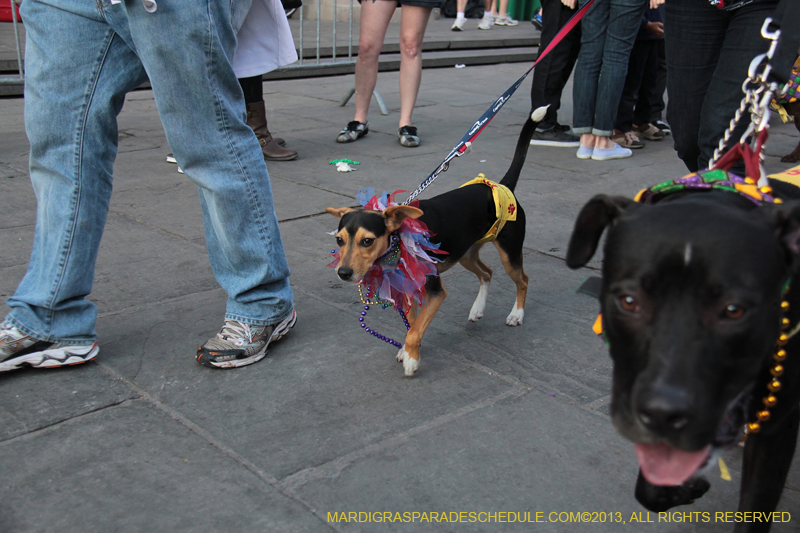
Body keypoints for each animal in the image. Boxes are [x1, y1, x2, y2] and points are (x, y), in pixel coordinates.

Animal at [324, 109, 544, 374]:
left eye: (367, 241)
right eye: (339, 240)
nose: (343, 273)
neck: (398, 242)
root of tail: (501, 186)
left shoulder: (436, 293)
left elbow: (415, 330)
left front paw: (411, 359)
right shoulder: (407, 290)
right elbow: (413, 325)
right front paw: (408, 351)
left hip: (509, 253)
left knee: (523, 280)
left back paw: (517, 314)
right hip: (465, 254)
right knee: (487, 273)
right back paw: (478, 308)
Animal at [568, 177, 800, 528]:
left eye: (734, 310)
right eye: (629, 301)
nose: (663, 412)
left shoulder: (776, 430)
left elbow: (754, 509)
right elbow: (650, 486)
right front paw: (679, 489)